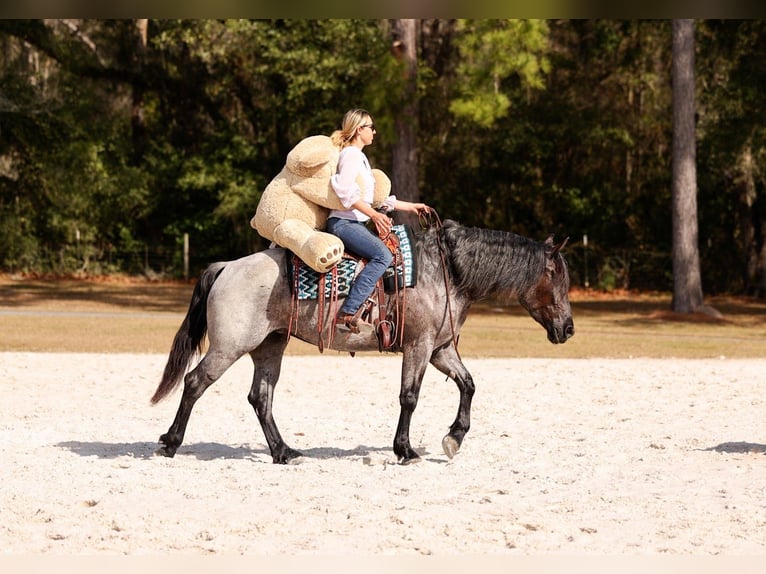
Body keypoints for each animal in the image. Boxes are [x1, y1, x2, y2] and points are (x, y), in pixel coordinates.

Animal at [150, 219, 575, 464]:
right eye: (558, 277)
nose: (569, 328)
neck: (447, 270)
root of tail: (227, 267)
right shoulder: (419, 347)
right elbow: (410, 397)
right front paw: (405, 450)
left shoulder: (440, 350)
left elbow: (468, 385)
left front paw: (454, 438)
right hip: (229, 348)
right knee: (195, 383)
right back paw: (170, 443)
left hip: (269, 347)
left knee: (261, 398)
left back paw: (284, 452)